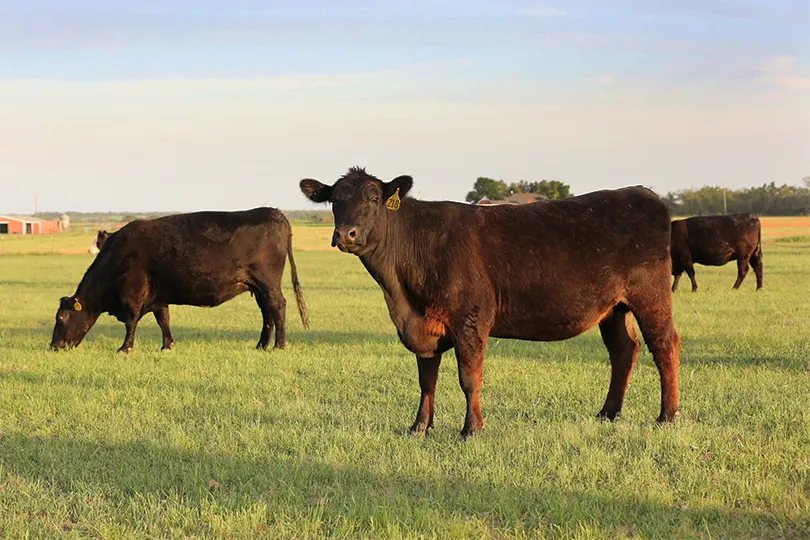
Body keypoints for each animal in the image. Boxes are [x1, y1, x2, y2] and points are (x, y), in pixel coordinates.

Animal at [51, 208, 309, 353]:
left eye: (61, 318)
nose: (54, 346)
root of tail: (274, 212)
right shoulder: (157, 295)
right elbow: (163, 319)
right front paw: (167, 345)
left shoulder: (133, 292)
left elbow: (131, 322)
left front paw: (125, 348)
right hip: (257, 286)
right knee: (267, 313)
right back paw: (261, 345)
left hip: (268, 283)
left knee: (277, 307)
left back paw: (279, 345)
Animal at [300, 167, 680, 438]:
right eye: (334, 200)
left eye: (375, 197)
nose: (346, 234)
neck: (402, 295)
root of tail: (640, 192)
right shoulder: (424, 324)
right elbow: (426, 379)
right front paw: (419, 427)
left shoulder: (470, 319)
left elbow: (469, 377)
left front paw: (472, 429)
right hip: (613, 307)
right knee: (624, 350)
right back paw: (608, 413)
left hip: (651, 295)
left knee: (665, 345)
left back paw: (667, 416)